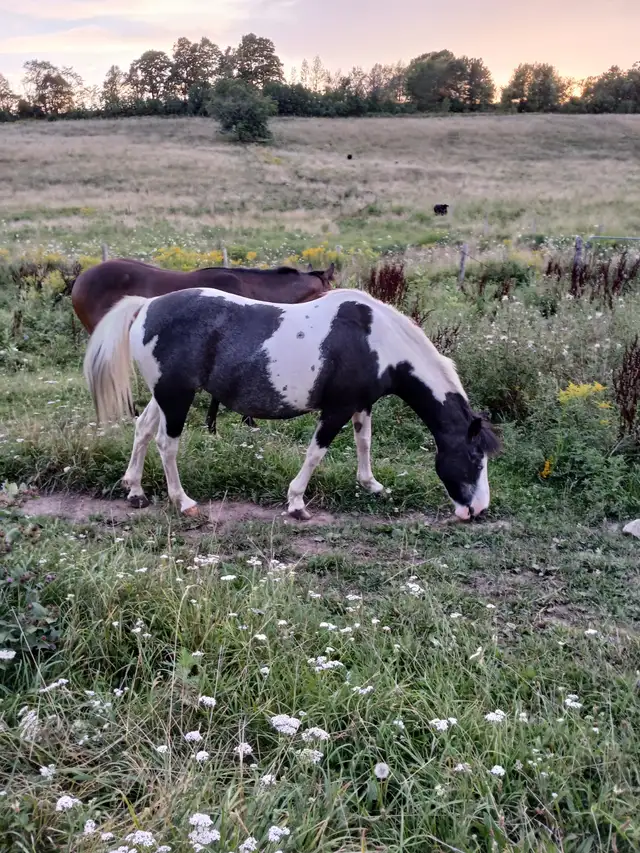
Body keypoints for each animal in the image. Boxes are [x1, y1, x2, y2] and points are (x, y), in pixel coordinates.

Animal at [83, 286, 500, 522]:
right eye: (475, 458)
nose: (478, 510)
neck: (376, 341)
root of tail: (148, 305)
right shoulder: (336, 409)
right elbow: (316, 454)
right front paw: (297, 503)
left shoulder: (361, 405)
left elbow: (364, 442)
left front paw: (371, 485)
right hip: (177, 396)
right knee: (166, 444)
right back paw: (182, 501)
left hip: (165, 395)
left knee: (143, 430)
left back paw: (135, 491)